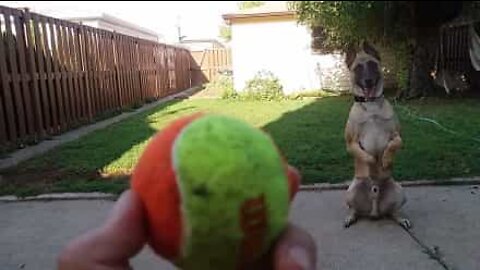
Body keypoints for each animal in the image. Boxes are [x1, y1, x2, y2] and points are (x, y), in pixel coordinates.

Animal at [344, 42, 410, 230]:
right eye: (358, 68)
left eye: (373, 65)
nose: (368, 81)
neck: (371, 104)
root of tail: (374, 211)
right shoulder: (350, 143)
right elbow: (364, 155)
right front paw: (373, 162)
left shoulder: (398, 137)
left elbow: (393, 145)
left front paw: (385, 160)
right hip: (350, 192)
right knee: (354, 210)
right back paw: (350, 218)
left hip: (400, 191)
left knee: (393, 212)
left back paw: (401, 219)